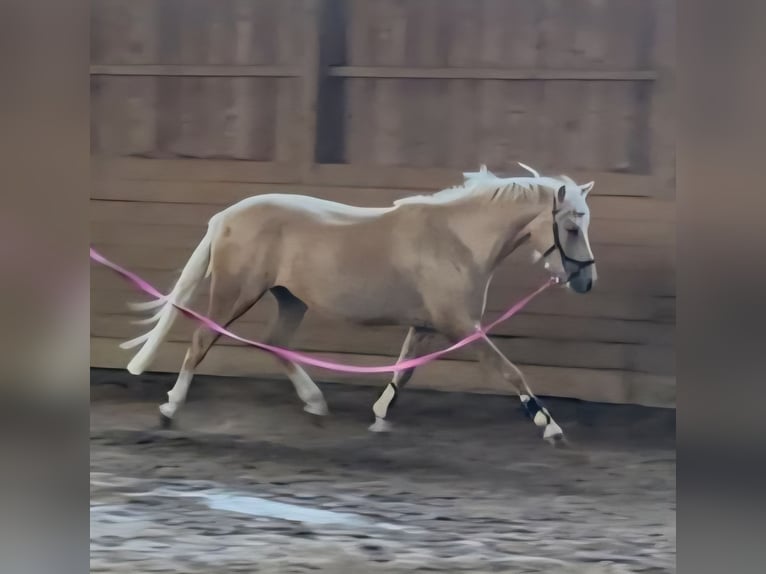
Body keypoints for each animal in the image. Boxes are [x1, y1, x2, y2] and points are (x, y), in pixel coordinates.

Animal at [120, 163, 597, 443]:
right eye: (572, 227)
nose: (586, 279)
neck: (458, 239)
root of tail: (227, 215)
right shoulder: (460, 325)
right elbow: (510, 371)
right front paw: (550, 425)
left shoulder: (427, 325)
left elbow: (404, 371)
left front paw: (381, 414)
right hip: (235, 292)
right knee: (201, 340)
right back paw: (169, 408)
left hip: (290, 299)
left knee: (275, 343)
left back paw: (315, 403)